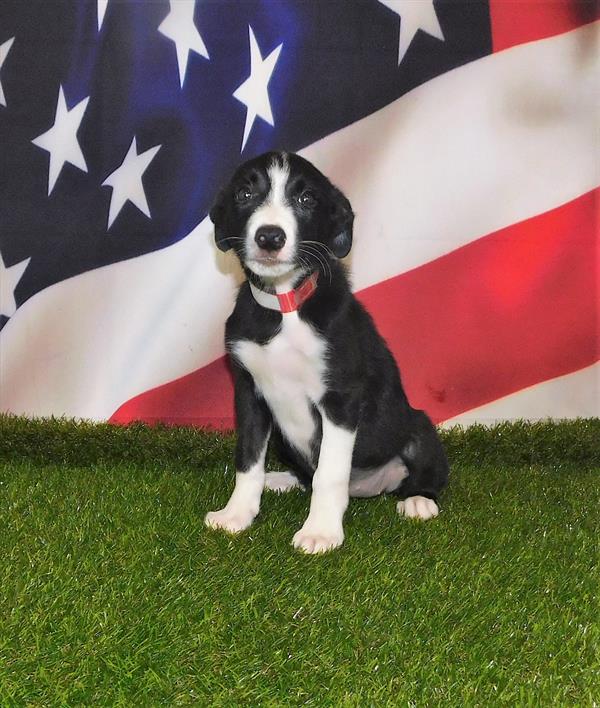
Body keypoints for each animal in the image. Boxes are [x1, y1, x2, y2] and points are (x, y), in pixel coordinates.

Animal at [204, 152, 448, 556]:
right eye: (244, 194)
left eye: (306, 200)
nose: (269, 237)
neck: (284, 306)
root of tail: (369, 487)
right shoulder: (249, 393)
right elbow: (248, 459)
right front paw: (237, 513)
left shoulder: (340, 399)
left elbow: (329, 473)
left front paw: (320, 532)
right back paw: (281, 479)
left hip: (419, 426)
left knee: (428, 472)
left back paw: (418, 500)